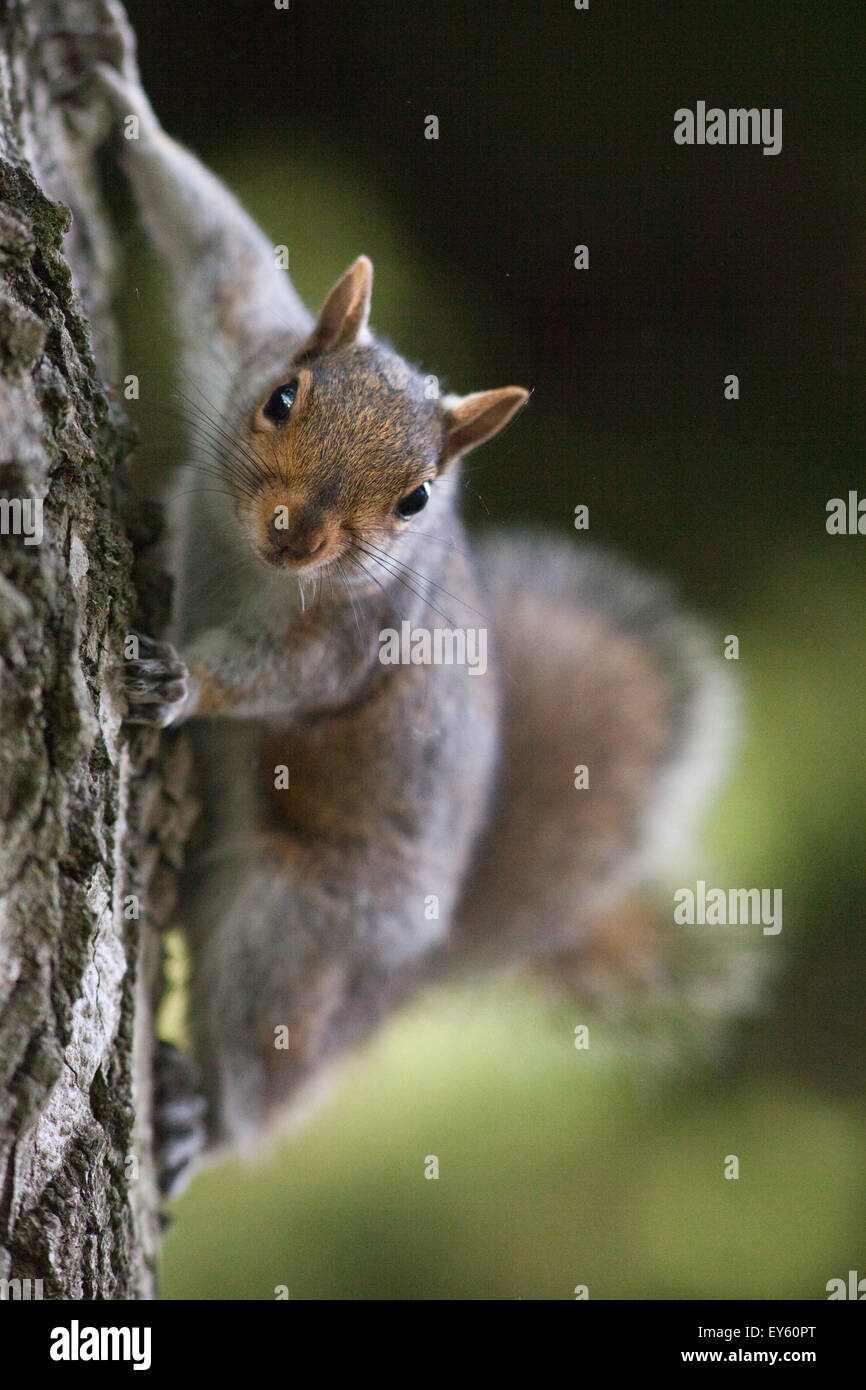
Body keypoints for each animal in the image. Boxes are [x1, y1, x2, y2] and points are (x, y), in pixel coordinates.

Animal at [67, 8, 733, 1195]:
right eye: (283, 395)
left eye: (417, 497)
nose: (295, 532)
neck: (258, 566)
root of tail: (406, 975)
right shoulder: (247, 326)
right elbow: (218, 245)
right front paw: (117, 92)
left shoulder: (357, 637)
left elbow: (291, 676)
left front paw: (182, 679)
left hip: (305, 926)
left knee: (275, 1070)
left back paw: (202, 1124)